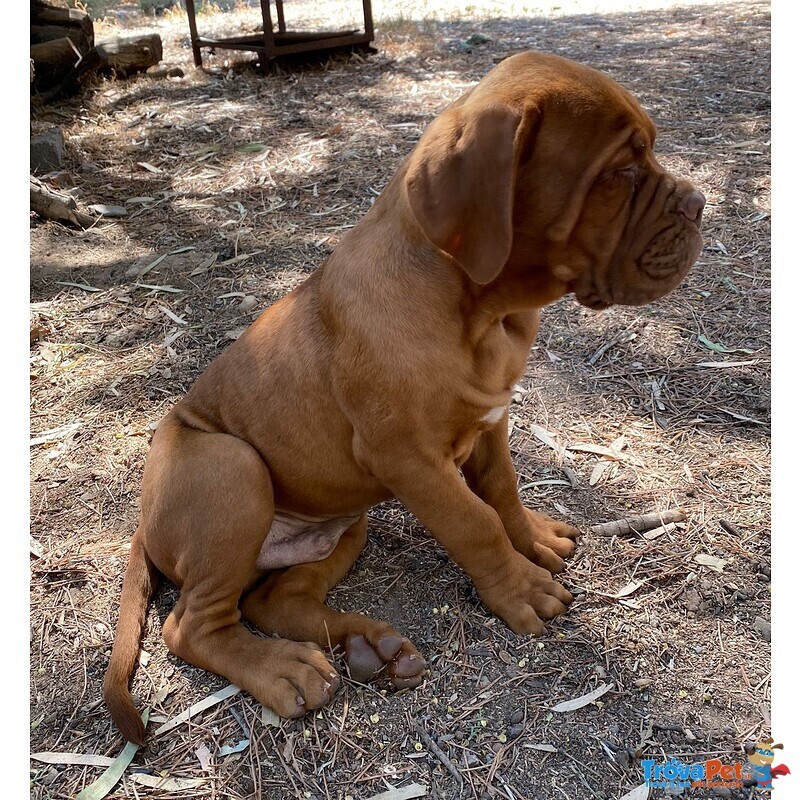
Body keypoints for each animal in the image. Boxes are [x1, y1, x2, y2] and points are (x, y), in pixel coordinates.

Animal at [103, 51, 704, 744]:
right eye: (619, 174)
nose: (699, 203)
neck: (480, 311)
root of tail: (144, 526)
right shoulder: (408, 458)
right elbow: (474, 523)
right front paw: (521, 590)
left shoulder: (491, 422)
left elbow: (502, 492)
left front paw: (533, 538)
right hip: (233, 468)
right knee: (192, 625)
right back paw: (284, 671)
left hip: (344, 524)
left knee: (273, 600)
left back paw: (370, 648)